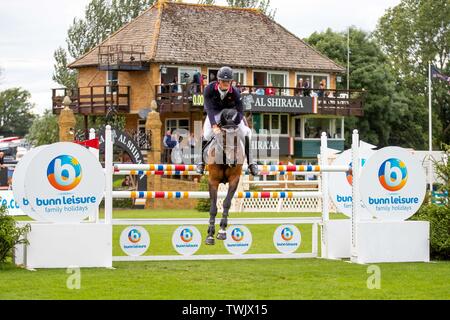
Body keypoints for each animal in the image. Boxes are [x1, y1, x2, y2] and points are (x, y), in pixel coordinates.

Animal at [204, 109, 246, 246]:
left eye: (237, 136)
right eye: (223, 136)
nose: (233, 161)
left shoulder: (234, 180)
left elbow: (227, 203)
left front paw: (222, 231)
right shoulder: (213, 182)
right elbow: (213, 208)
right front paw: (210, 235)